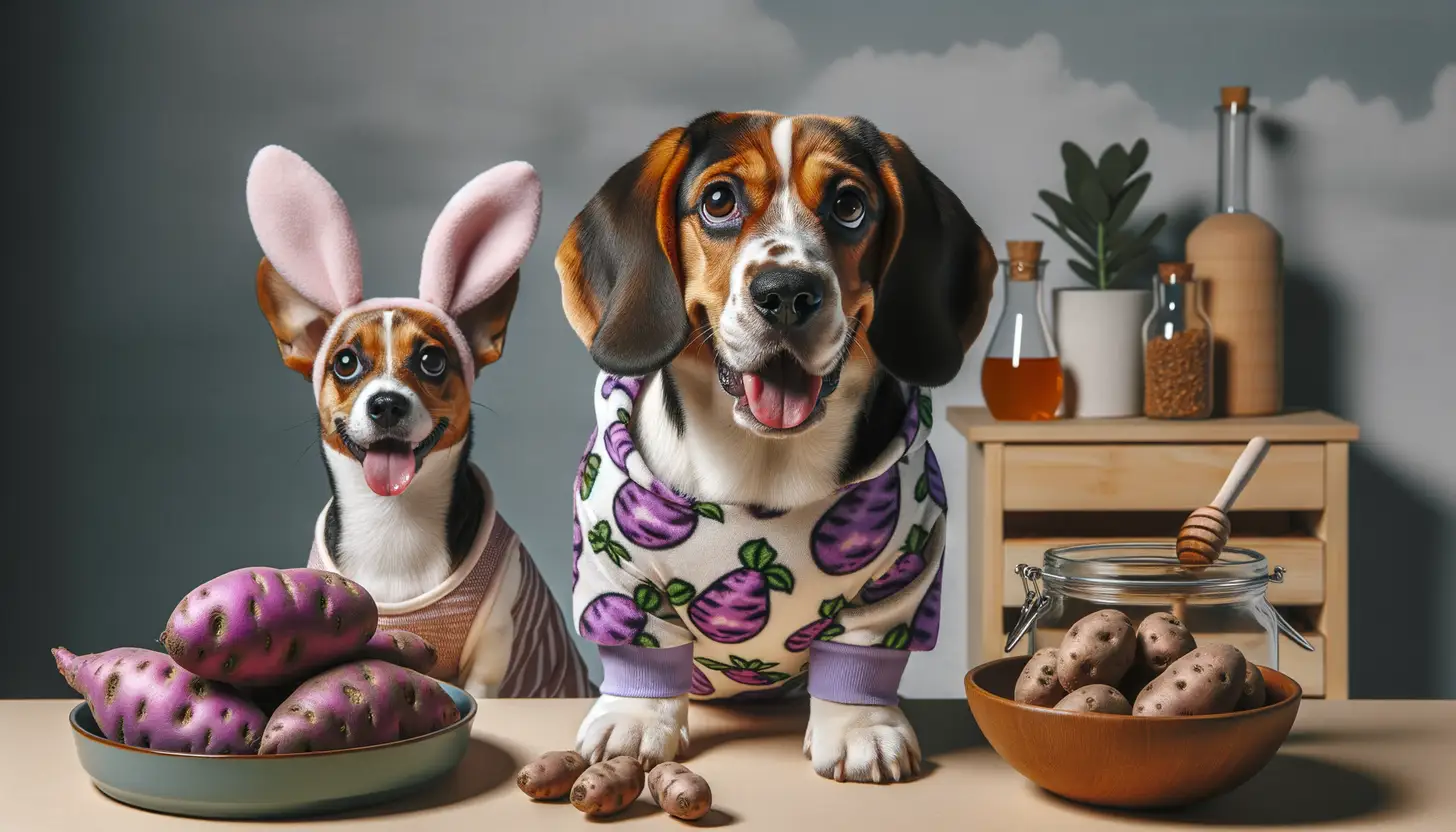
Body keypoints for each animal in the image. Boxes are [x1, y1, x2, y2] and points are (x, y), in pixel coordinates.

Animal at [550, 109, 995, 781]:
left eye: (848, 204)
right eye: (718, 200)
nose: (787, 293)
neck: (764, 469)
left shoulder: (900, 582)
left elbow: (860, 658)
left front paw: (860, 727)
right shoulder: (615, 576)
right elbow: (643, 650)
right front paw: (635, 718)